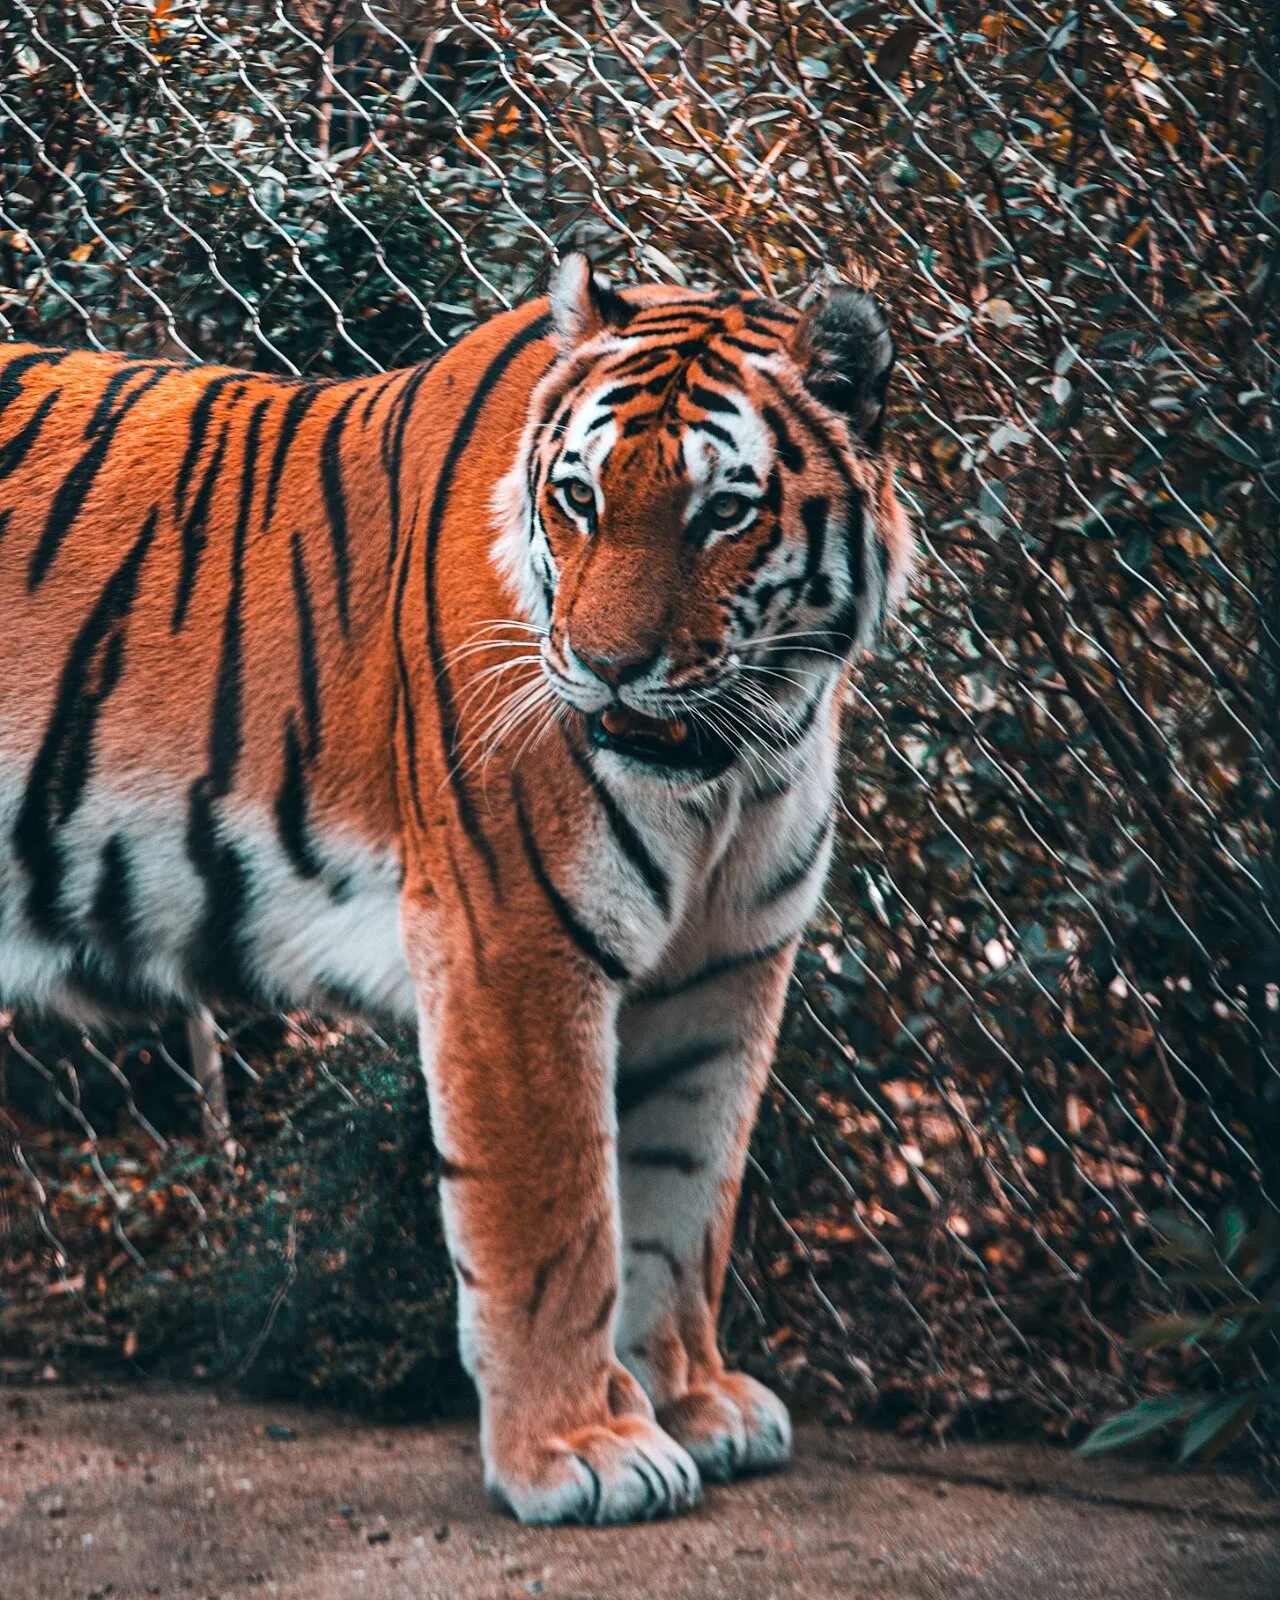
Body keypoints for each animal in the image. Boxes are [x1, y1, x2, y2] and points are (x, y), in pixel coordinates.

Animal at [0, 253, 913, 1523]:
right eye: (578, 498)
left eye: (722, 513)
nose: (605, 667)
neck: (741, 759)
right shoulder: (514, 939)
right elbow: (554, 1219)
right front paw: (582, 1446)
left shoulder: (725, 969)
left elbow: (686, 1198)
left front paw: (689, 1399)